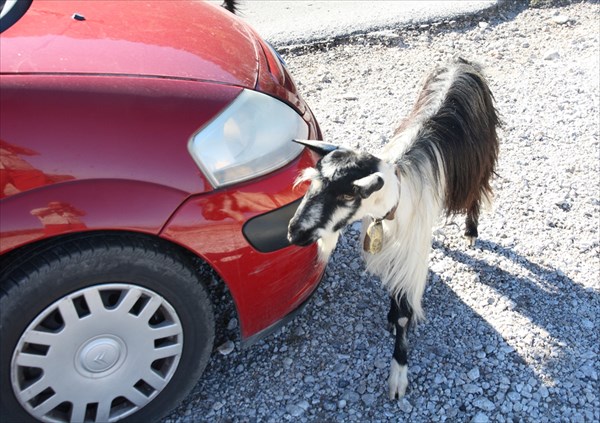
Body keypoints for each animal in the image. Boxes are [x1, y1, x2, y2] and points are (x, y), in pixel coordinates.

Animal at [288, 58, 500, 400]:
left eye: (347, 195)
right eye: (312, 183)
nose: (295, 232)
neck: (392, 205)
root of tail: (461, 63)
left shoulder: (410, 255)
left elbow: (404, 312)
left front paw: (398, 373)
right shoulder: (388, 247)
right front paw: (388, 315)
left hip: (480, 156)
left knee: (477, 191)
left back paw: (471, 230)